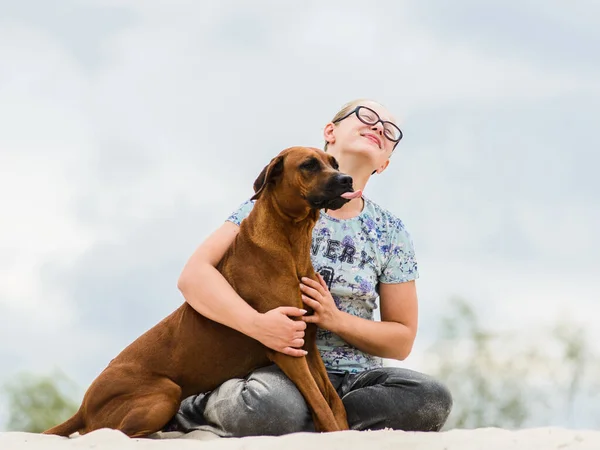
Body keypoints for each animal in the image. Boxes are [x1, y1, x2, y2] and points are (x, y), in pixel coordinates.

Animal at [44, 147, 360, 436]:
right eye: (308, 165)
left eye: (334, 163)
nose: (347, 179)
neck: (291, 245)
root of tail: (83, 408)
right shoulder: (284, 345)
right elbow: (319, 402)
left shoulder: (307, 341)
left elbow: (332, 400)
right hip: (166, 391)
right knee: (113, 433)